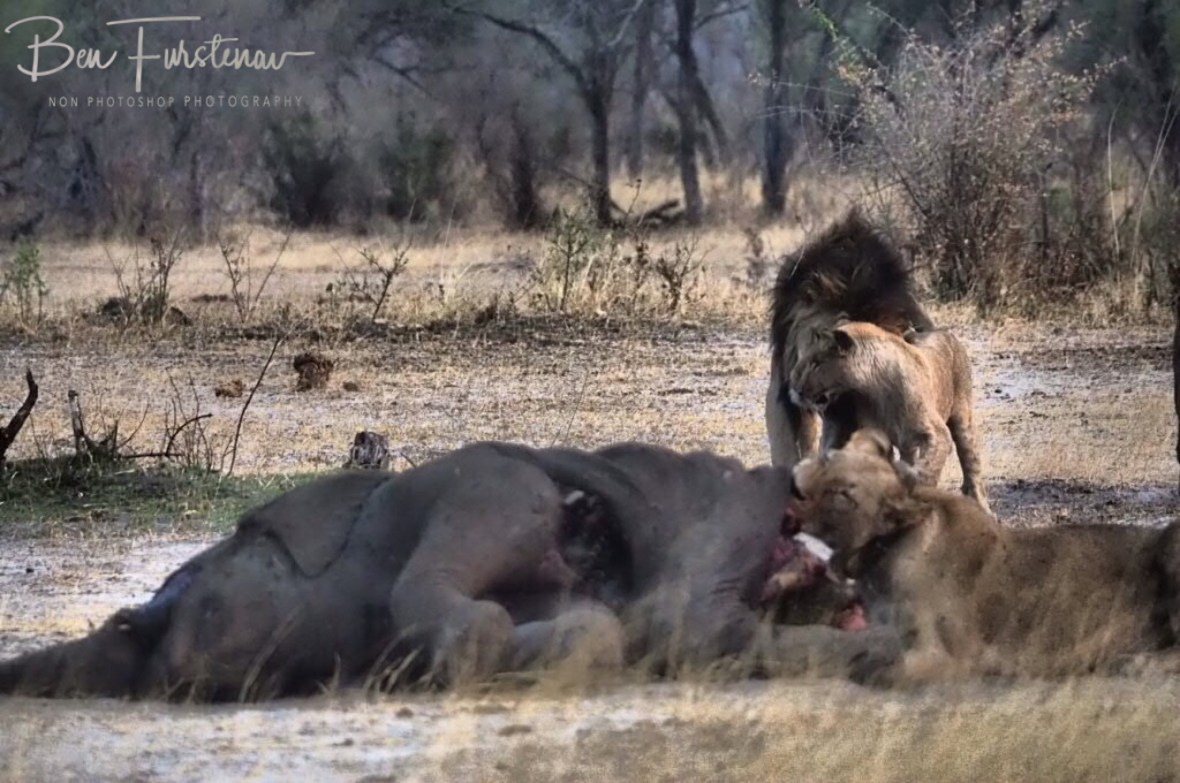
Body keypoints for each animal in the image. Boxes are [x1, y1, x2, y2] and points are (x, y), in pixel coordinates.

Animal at [787, 429, 1180, 683]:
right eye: (825, 459)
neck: (877, 554)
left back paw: (1136, 662)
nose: (792, 486)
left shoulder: (944, 657)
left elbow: (873, 671)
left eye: (843, 495)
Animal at [788, 321, 989, 513]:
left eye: (816, 363)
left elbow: (926, 471)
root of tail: (942, 331)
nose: (795, 386)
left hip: (963, 419)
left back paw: (982, 507)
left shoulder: (937, 433)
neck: (867, 390)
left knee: (971, 463)